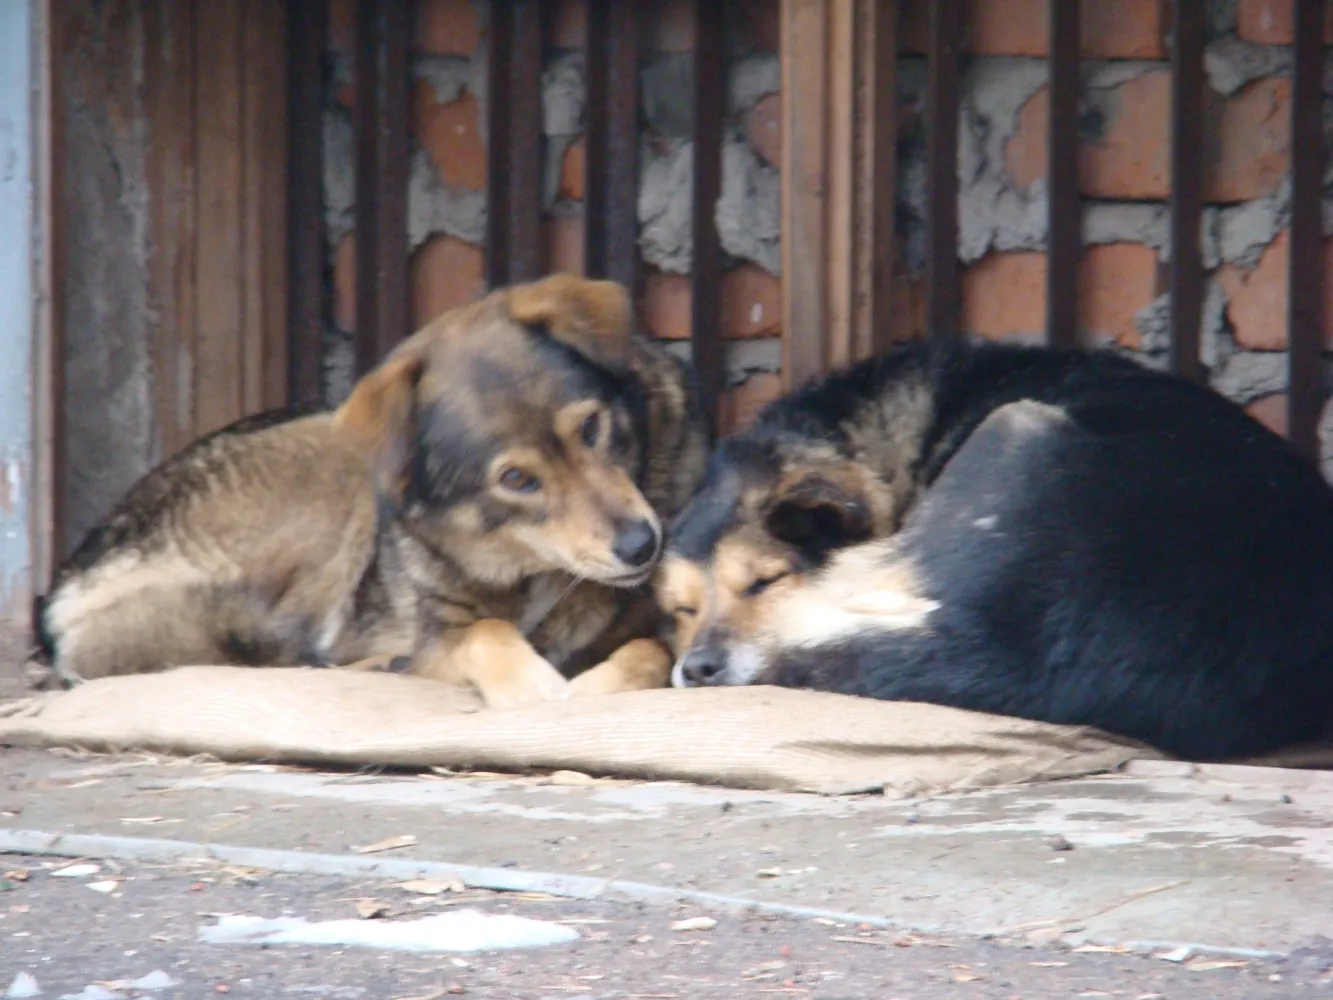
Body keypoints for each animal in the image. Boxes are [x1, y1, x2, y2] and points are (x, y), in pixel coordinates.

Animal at [38, 278, 709, 709]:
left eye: (591, 428)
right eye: (517, 480)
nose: (642, 545)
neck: (531, 571)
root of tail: (65, 589)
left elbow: (649, 651)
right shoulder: (441, 631)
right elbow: (486, 634)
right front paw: (535, 687)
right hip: (334, 480)